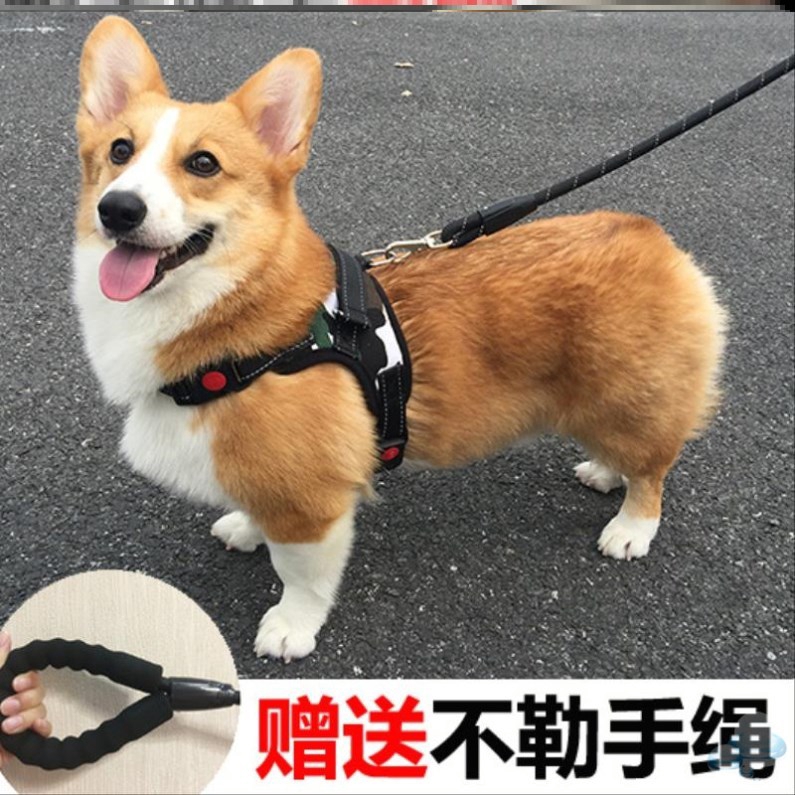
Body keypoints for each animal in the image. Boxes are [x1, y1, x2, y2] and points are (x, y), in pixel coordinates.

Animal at [73, 17, 727, 661]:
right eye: (120, 151)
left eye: (204, 164)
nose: (118, 209)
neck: (238, 310)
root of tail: (651, 238)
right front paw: (247, 528)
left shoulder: (313, 504)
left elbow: (301, 576)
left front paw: (290, 629)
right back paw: (605, 471)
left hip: (628, 395)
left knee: (653, 466)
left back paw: (631, 526)